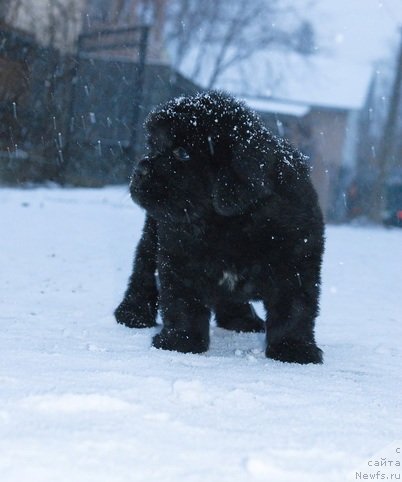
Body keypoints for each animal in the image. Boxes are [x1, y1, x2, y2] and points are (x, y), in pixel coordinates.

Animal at [114, 90, 326, 364]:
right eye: (154, 146)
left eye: (182, 152)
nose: (140, 169)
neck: (229, 223)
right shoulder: (179, 255)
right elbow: (182, 301)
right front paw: (181, 341)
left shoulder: (296, 261)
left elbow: (295, 308)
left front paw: (293, 349)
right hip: (152, 233)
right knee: (142, 270)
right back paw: (133, 312)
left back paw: (241, 319)